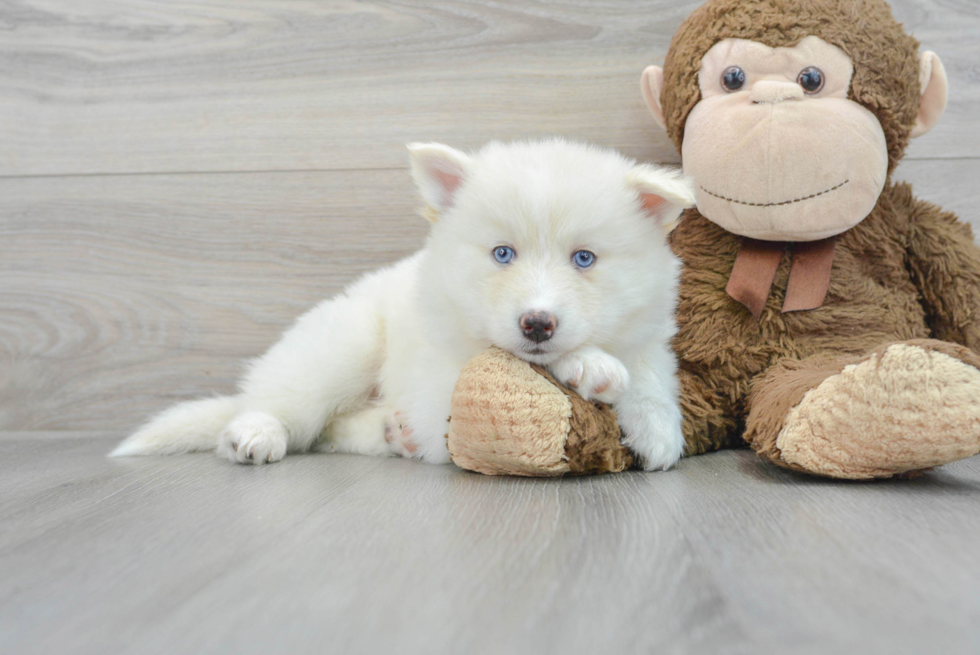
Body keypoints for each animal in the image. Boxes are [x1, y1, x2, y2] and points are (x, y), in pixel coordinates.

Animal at [113, 141, 696, 474]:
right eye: (502, 254)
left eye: (584, 258)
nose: (537, 323)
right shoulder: (446, 383)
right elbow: (516, 362)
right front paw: (589, 364)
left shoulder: (650, 335)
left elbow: (649, 372)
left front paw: (656, 427)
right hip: (344, 340)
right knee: (283, 407)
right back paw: (255, 432)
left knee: (332, 431)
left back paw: (394, 435)